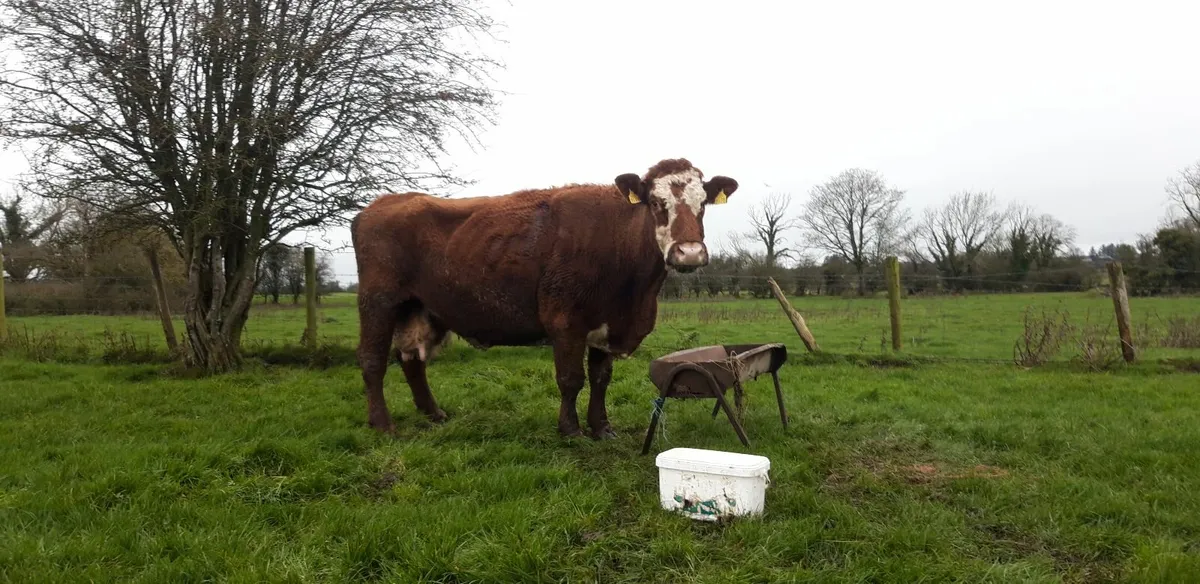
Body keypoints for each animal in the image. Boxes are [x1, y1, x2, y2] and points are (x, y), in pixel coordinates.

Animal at [350, 158, 738, 439]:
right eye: (657, 203)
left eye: (703, 204)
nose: (689, 253)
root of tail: (382, 204)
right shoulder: (565, 321)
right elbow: (571, 379)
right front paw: (570, 429)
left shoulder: (606, 323)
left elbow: (601, 379)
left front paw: (601, 427)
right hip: (378, 302)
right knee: (373, 361)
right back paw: (382, 424)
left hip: (420, 308)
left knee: (412, 360)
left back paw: (433, 413)